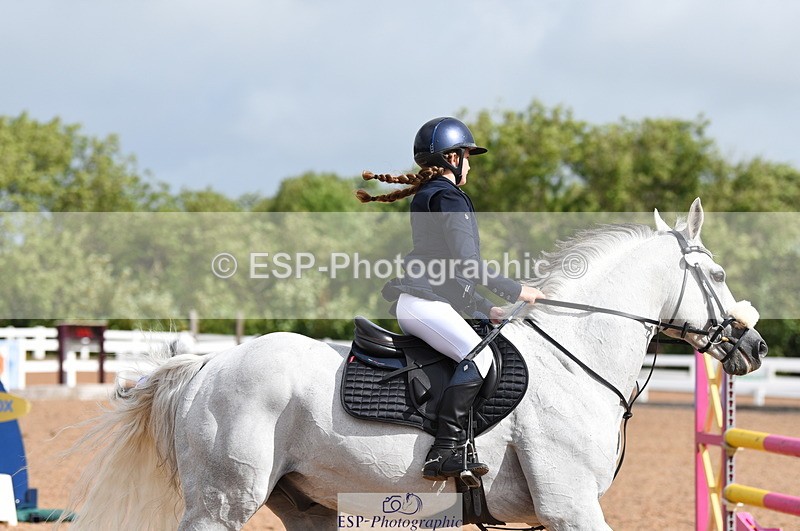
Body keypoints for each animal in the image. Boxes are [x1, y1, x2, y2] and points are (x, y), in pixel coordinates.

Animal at [64, 198, 768, 530]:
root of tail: (208, 367)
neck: (577, 362)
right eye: (718, 275)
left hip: (302, 504)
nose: (755, 346)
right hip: (221, 501)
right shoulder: (571, 506)